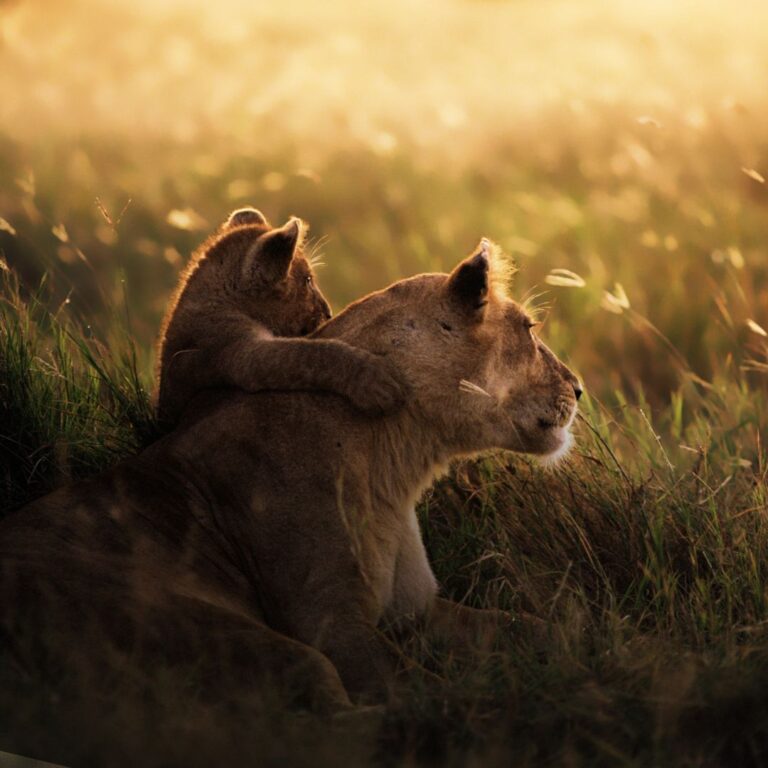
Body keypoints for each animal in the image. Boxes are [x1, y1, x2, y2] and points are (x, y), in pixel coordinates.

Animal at [0, 239, 581, 715]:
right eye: (529, 329)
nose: (578, 388)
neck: (397, 463)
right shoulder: (332, 625)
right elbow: (428, 694)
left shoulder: (417, 611)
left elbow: (532, 627)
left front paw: (592, 644)